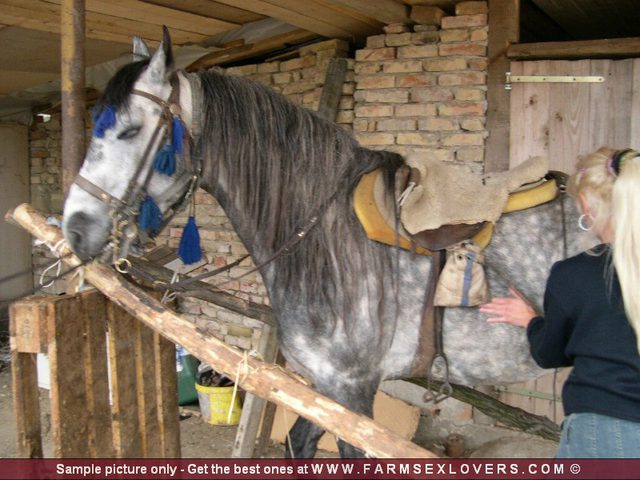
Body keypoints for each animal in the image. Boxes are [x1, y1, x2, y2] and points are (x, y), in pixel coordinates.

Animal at [62, 30, 584, 458]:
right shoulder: (324, 386)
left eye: (130, 129)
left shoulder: (351, 390)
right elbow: (299, 441)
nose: (74, 229)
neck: (321, 231)